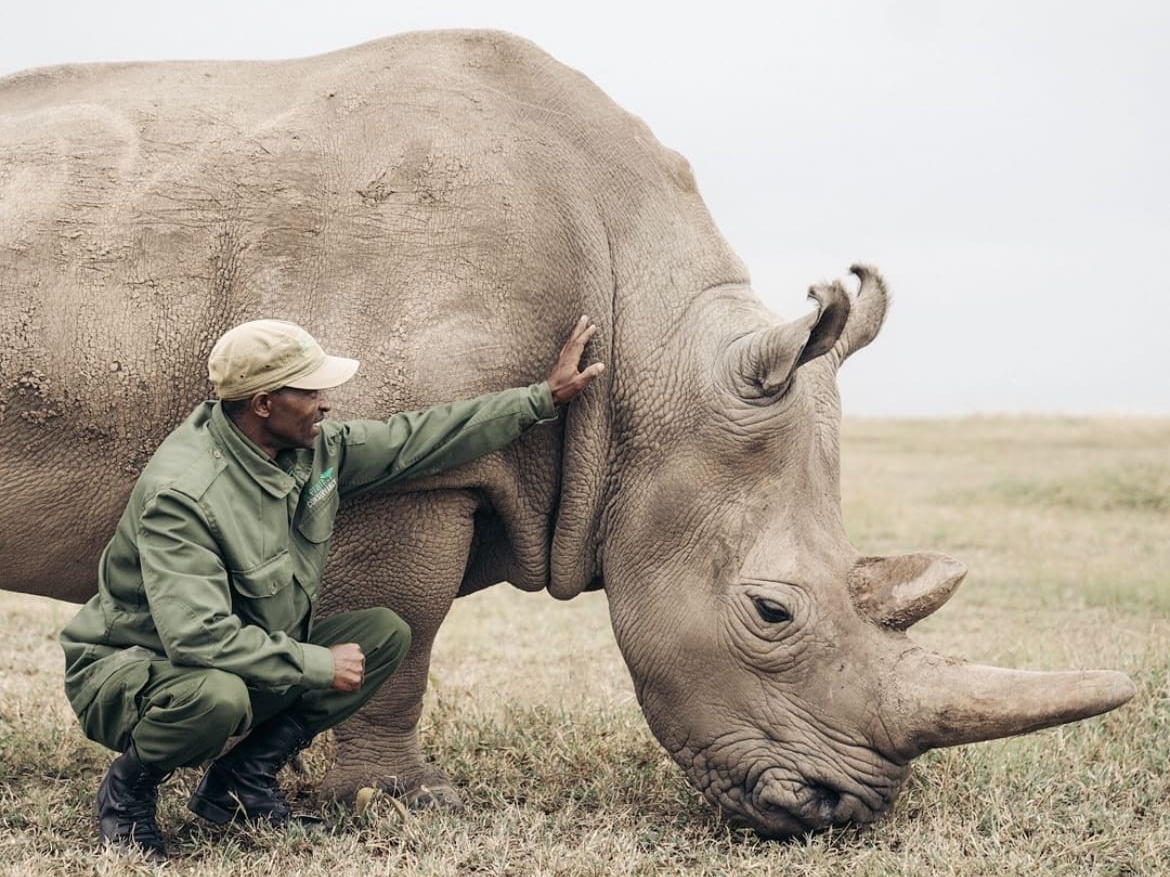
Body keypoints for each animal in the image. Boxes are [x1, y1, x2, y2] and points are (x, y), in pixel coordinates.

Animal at [0, 27, 1132, 837]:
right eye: (770, 612)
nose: (842, 809)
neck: (651, 349)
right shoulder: (411, 479)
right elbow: (401, 629)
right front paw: (397, 802)